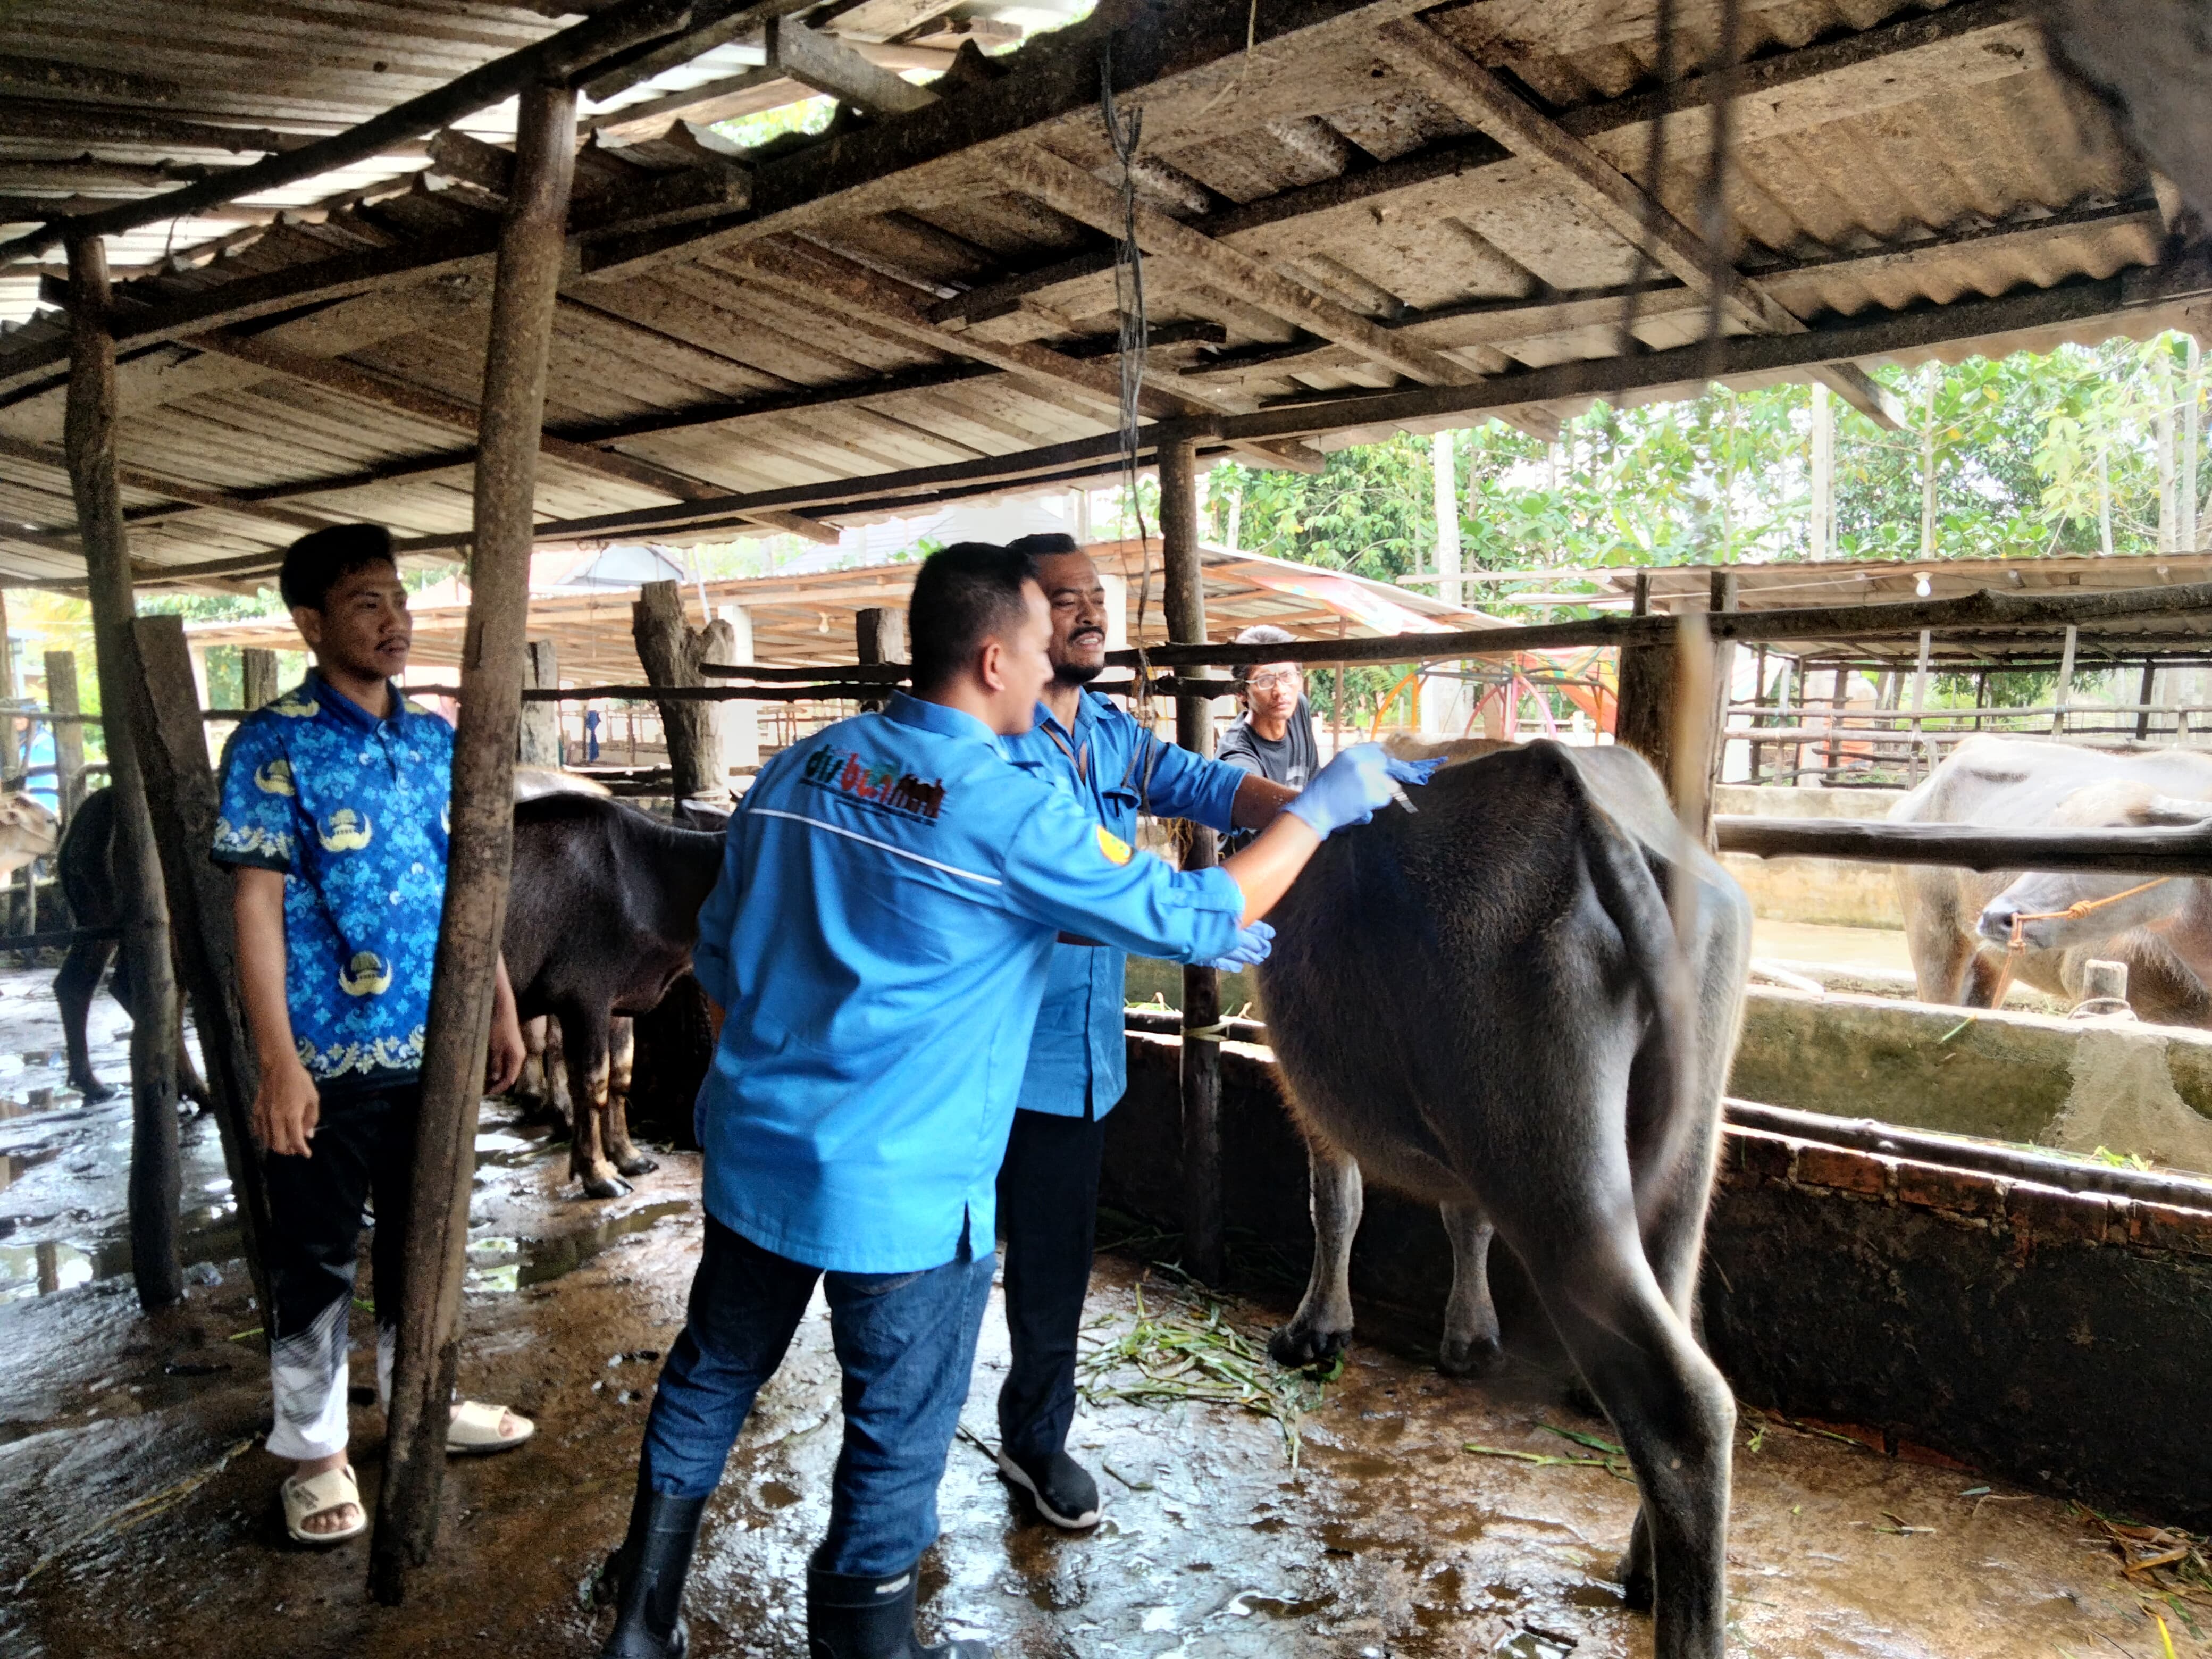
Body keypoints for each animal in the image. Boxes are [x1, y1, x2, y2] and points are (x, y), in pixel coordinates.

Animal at [1265, 739, 1743, 1659]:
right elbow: (1462, 1217)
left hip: (1547, 1163)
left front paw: (1316, 1330)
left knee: (1683, 1404)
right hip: (1681, 1141)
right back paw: (1643, 1569)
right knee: (1681, 1319)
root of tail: (1584, 802)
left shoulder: (1313, 1100)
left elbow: (1334, 1200)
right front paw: (1469, 1334)